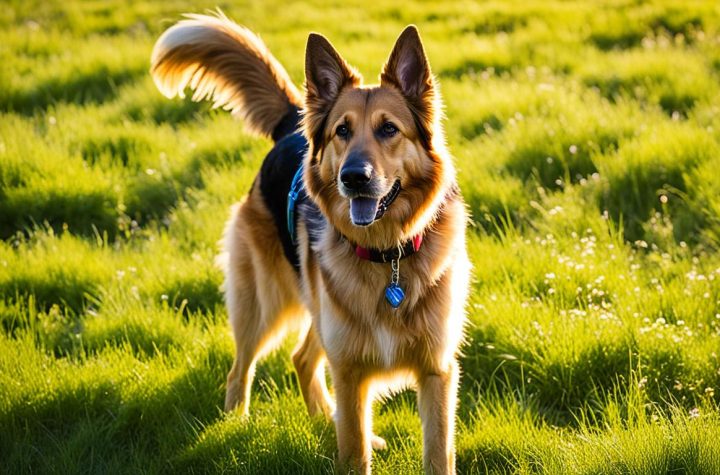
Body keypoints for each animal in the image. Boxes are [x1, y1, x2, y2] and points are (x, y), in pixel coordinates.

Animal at [149, 13, 470, 474]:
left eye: (389, 129)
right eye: (342, 131)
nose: (353, 177)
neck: (387, 255)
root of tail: (292, 126)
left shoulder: (436, 372)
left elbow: (437, 454)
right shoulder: (350, 371)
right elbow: (353, 451)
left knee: (302, 359)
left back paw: (323, 417)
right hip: (265, 303)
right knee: (241, 368)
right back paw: (236, 422)